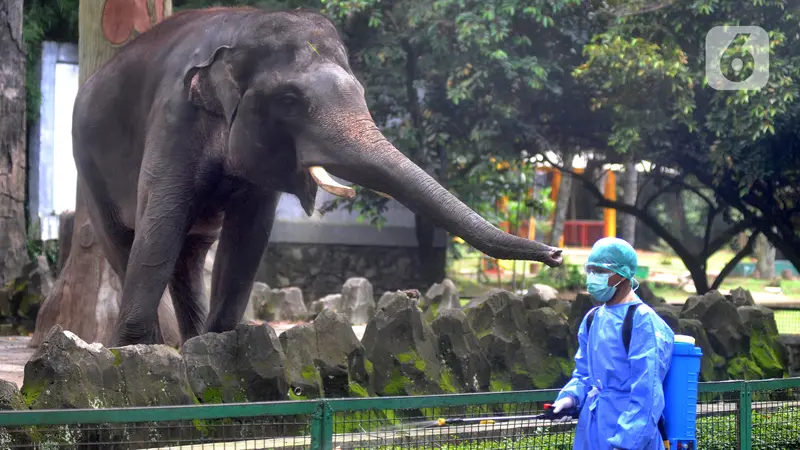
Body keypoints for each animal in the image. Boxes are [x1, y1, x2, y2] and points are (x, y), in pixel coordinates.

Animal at [72, 5, 564, 346]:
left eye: (362, 92)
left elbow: (249, 235)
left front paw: (218, 343)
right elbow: (161, 224)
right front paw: (136, 355)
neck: (242, 27)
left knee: (190, 254)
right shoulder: (174, 118)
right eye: (289, 101)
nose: (557, 254)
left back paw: (191, 341)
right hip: (88, 164)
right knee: (129, 243)